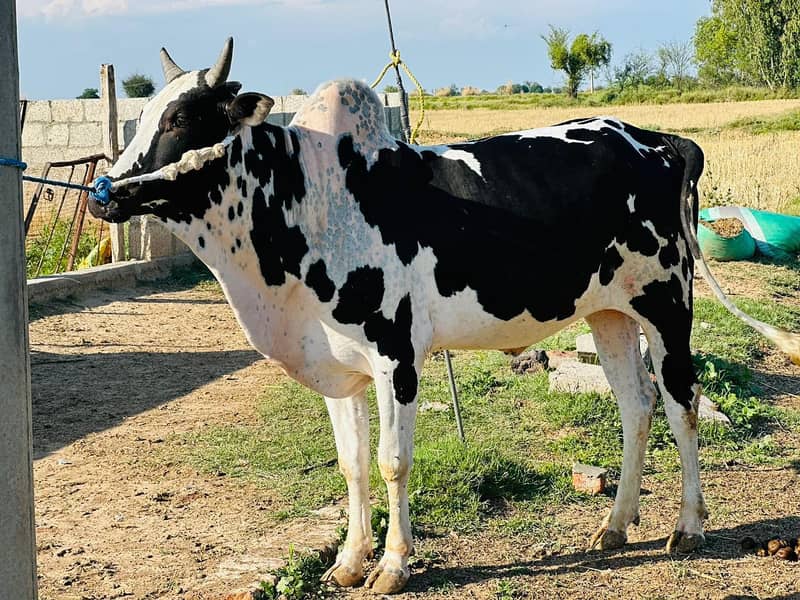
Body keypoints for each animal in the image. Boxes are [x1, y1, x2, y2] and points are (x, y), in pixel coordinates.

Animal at [88, 38, 799, 594]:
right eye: (144, 113)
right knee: (636, 404)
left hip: (666, 303)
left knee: (681, 403)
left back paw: (688, 525)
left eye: (183, 117)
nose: (104, 194)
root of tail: (660, 141)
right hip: (609, 313)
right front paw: (349, 562)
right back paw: (616, 525)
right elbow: (351, 463)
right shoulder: (338, 370)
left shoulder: (395, 356)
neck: (306, 203)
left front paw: (393, 566)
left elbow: (392, 461)